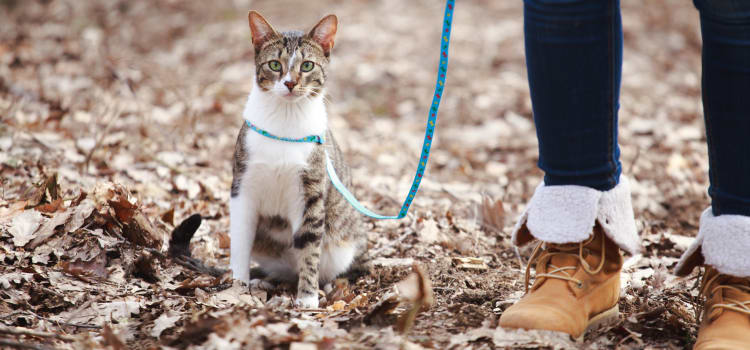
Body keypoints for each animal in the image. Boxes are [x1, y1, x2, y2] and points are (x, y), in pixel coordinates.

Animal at [232, 9, 368, 308]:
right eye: (274, 64)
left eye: (307, 66)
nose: (290, 83)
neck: (286, 119)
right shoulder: (243, 187)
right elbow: (239, 239)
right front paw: (236, 286)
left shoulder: (310, 193)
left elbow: (308, 247)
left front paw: (307, 298)